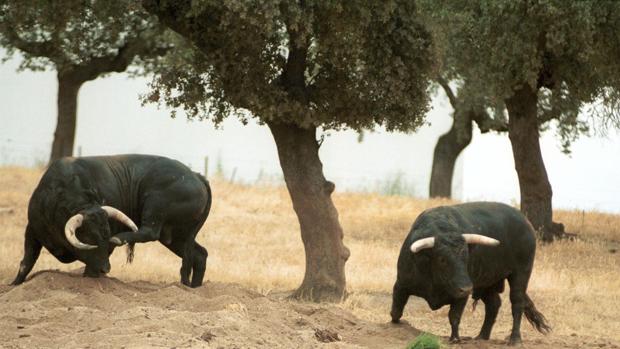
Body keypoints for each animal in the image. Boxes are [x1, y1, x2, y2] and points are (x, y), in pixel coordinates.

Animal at [9, 154, 212, 286]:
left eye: (106, 234)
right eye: (89, 237)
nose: (105, 269)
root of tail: (196, 175)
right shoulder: (32, 230)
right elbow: (26, 262)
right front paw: (14, 284)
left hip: (156, 207)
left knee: (149, 232)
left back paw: (121, 238)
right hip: (176, 236)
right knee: (199, 255)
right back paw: (194, 286)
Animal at [390, 200, 548, 344]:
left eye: (467, 257)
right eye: (442, 259)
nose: (466, 288)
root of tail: (524, 221)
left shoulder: (461, 296)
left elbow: (454, 316)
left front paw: (455, 338)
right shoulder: (401, 285)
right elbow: (396, 311)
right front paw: (394, 324)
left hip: (520, 273)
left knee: (517, 303)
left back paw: (515, 339)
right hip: (486, 281)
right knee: (493, 304)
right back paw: (482, 336)